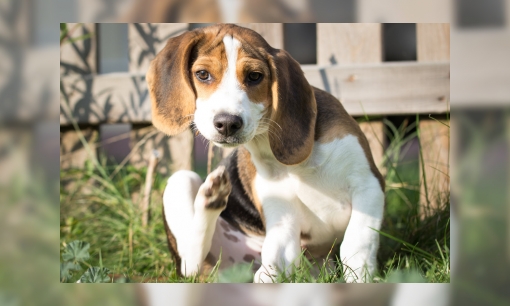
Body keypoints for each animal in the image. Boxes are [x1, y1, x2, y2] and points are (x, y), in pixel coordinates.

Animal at [145, 23, 384, 282]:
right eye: (202, 74)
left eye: (254, 76)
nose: (227, 123)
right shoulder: (283, 217)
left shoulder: (368, 185)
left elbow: (356, 244)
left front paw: (360, 278)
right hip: (181, 181)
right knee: (191, 261)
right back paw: (211, 197)